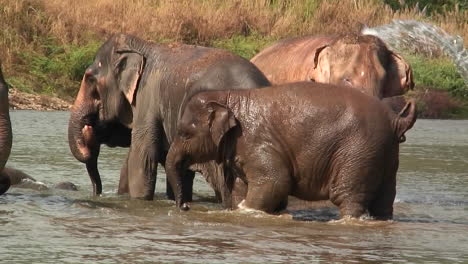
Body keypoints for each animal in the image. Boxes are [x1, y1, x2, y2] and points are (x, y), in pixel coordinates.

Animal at [165, 82, 416, 219]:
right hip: (385, 154)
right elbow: (241, 188)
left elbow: (276, 182)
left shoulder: (257, 141)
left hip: (358, 151)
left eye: (184, 133)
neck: (229, 96)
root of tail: (396, 121)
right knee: (384, 201)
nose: (185, 207)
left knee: (348, 197)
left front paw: (248, 211)